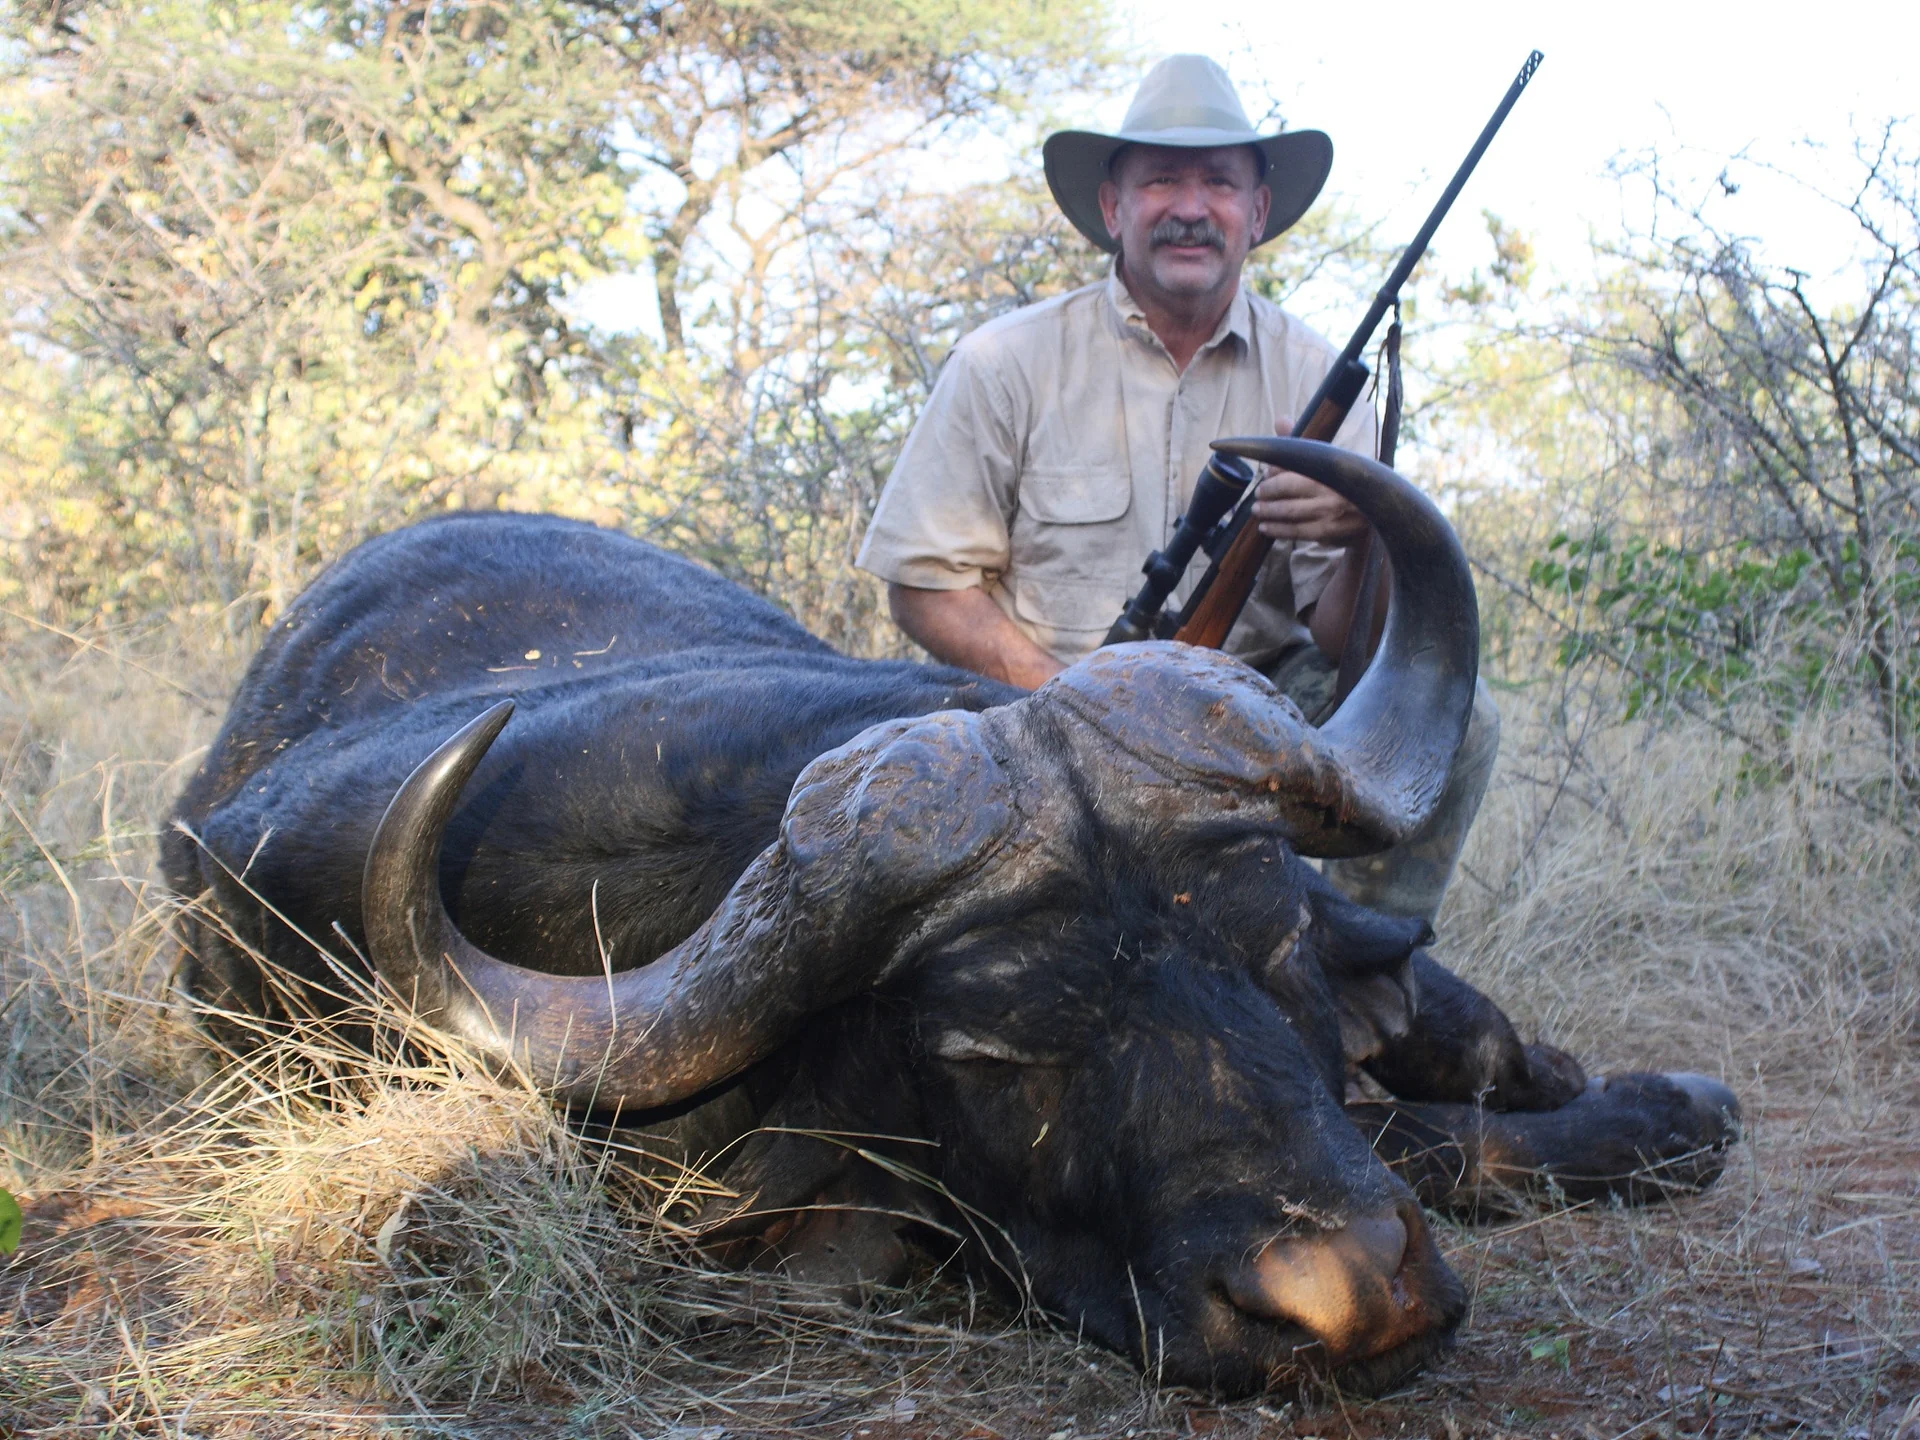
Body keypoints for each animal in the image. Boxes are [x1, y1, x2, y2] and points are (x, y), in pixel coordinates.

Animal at [162, 438, 1739, 1396]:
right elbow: (1428, 1140)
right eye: (992, 1054)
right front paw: (1657, 1116)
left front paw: (1656, 1105)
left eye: (1275, 952)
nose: (1348, 1294)